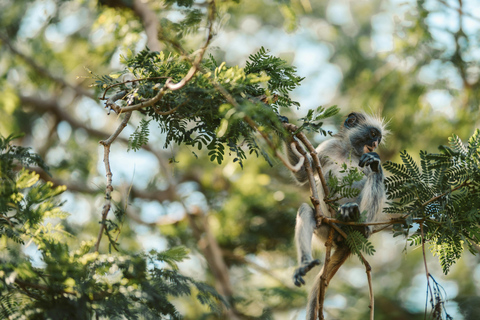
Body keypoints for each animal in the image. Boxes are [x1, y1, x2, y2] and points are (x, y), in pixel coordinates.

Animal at [286, 111, 388, 318]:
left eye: (378, 139)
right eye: (373, 134)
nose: (374, 144)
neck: (349, 150)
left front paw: (375, 162)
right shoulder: (330, 145)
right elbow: (302, 174)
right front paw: (286, 132)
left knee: (374, 178)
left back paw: (360, 222)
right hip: (326, 229)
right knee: (306, 210)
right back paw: (305, 264)